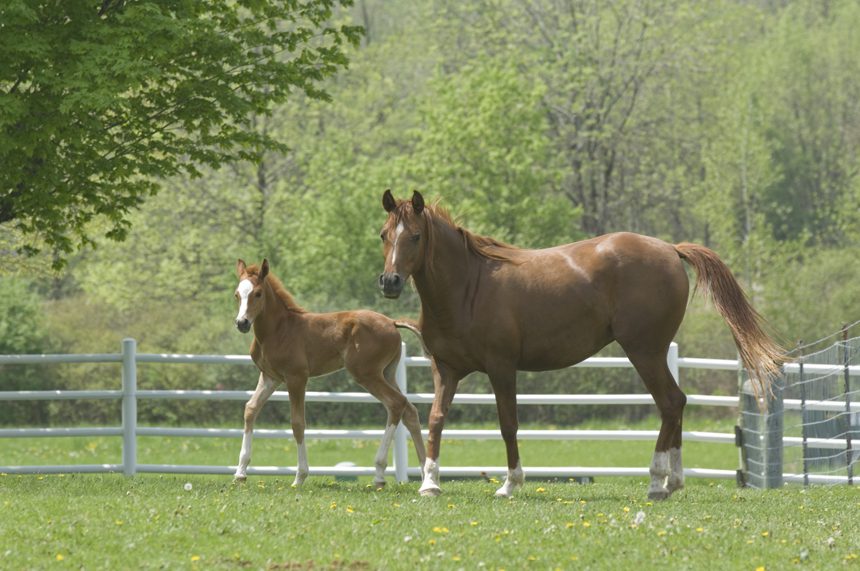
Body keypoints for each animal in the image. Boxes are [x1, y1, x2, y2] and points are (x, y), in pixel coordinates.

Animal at [233, 260, 424, 488]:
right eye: (237, 294)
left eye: (258, 293)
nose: (242, 323)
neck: (278, 330)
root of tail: (392, 322)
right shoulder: (270, 377)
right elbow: (250, 409)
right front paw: (240, 473)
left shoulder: (296, 378)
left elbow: (297, 423)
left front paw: (300, 476)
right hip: (387, 373)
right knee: (409, 410)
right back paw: (428, 474)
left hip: (367, 374)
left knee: (396, 403)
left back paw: (380, 474)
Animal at [374, 192, 780, 500]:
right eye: (384, 234)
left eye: (415, 236)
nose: (390, 282)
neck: (467, 288)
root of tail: (669, 248)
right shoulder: (446, 369)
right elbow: (435, 420)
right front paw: (429, 483)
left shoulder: (501, 368)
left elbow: (508, 424)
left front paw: (510, 484)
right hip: (651, 353)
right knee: (676, 403)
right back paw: (672, 482)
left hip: (645, 351)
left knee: (669, 403)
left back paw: (656, 481)